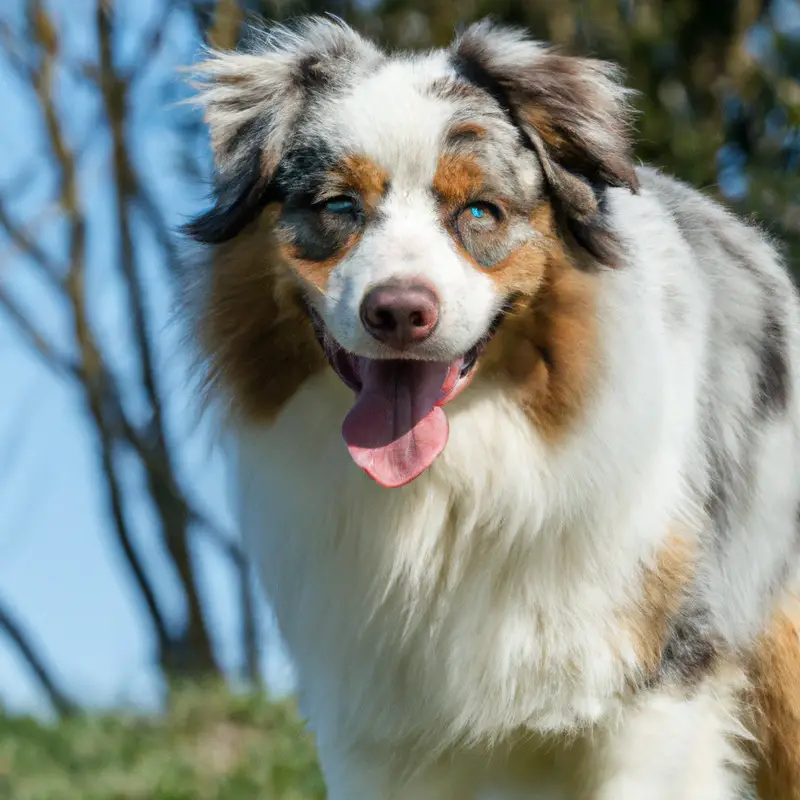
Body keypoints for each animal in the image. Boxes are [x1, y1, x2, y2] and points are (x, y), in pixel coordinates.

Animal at [184, 15, 800, 796]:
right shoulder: (377, 722)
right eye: (339, 207)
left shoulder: (657, 683)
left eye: (479, 211)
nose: (400, 312)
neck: (451, 488)